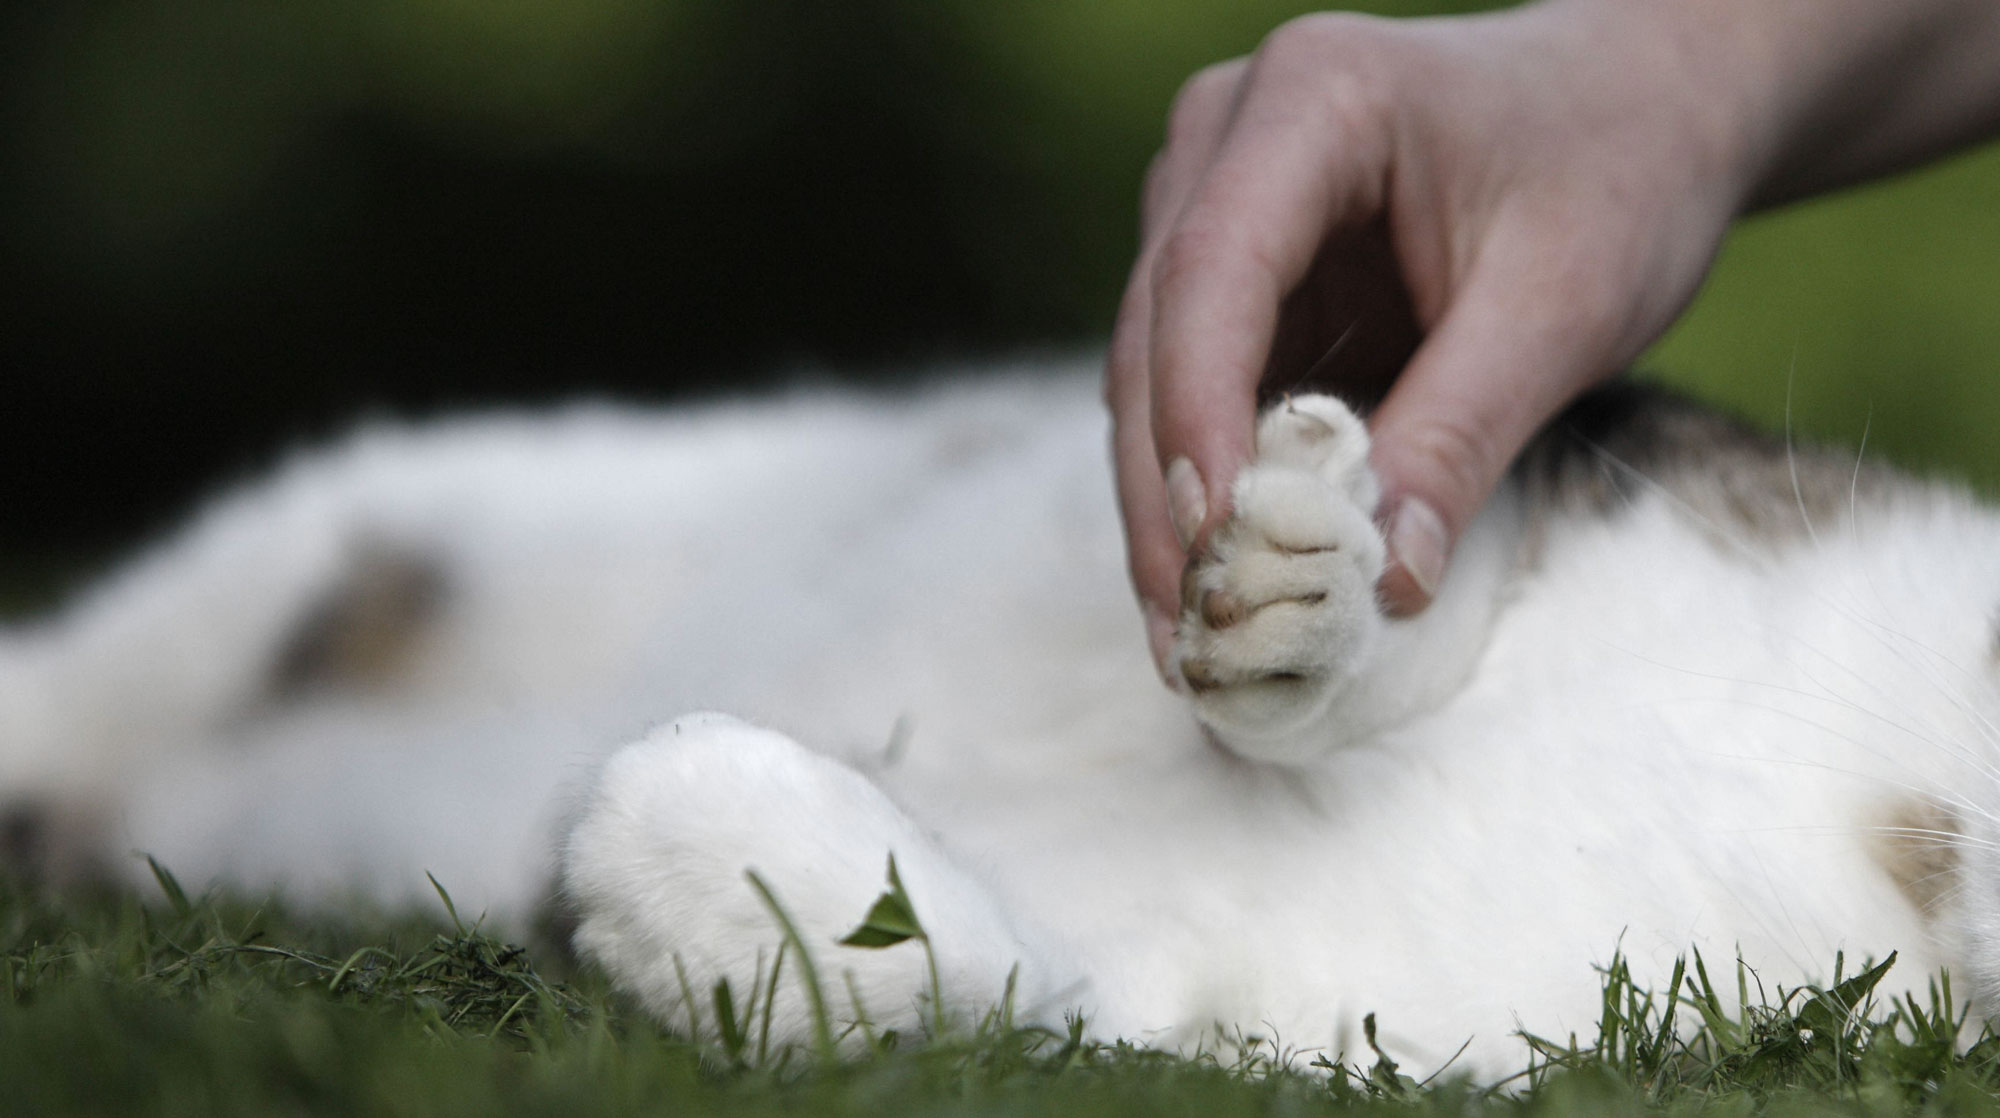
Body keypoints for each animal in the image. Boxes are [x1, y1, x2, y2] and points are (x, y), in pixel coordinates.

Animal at [3, 364, 2000, 1080]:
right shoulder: (1596, 446)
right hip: (406, 517)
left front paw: (685, 842)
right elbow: (1432, 565)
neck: (1893, 830)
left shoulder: (1278, 1041)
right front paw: (1296, 577)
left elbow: (982, 992)